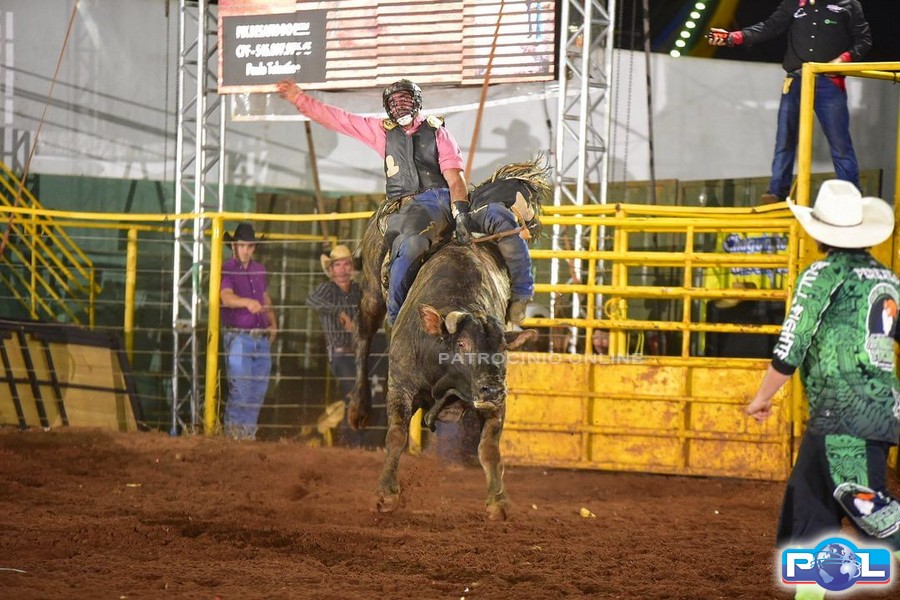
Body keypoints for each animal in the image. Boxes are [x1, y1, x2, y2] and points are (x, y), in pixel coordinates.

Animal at [350, 161, 548, 520]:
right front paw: (386, 493)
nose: (492, 389)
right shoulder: (400, 385)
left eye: (502, 351)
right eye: (463, 345)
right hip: (371, 290)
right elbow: (396, 435)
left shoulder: (494, 405)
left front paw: (498, 501)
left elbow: (489, 448)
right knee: (362, 337)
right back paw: (358, 410)